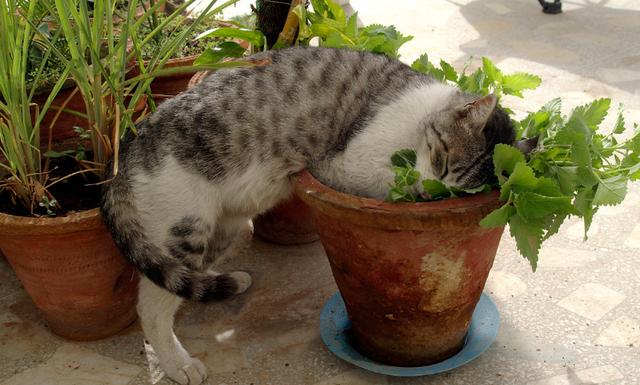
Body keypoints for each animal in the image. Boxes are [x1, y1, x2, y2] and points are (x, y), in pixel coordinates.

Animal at [104, 45, 516, 384]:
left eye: (454, 192)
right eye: (442, 160)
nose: (427, 194)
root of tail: (124, 157)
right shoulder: (348, 164)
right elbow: (383, 180)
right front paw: (408, 191)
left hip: (224, 229)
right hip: (185, 227)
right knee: (151, 306)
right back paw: (178, 365)